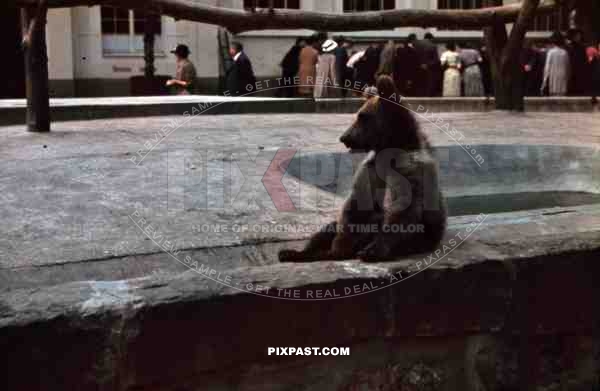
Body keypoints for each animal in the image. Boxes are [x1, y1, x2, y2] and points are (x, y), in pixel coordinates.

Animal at [280, 74, 446, 262]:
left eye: (362, 116)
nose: (344, 137)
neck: (388, 151)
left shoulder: (410, 171)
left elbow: (402, 210)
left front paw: (372, 250)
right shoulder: (370, 170)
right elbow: (355, 205)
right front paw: (338, 248)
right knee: (327, 230)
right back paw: (295, 252)